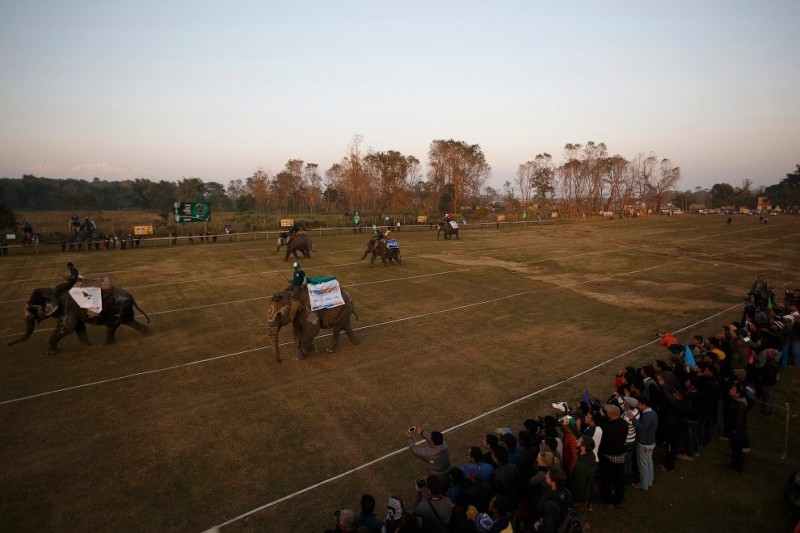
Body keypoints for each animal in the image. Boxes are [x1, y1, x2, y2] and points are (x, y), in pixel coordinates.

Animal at [8, 282, 152, 354]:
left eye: (32, 309)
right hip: (122, 309)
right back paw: (147, 333)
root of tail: (131, 297)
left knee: (113, 325)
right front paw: (84, 347)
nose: (8, 345)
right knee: (128, 322)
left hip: (117, 308)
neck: (53, 291)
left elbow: (68, 327)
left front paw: (51, 353)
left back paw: (105, 344)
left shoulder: (69, 307)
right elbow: (77, 326)